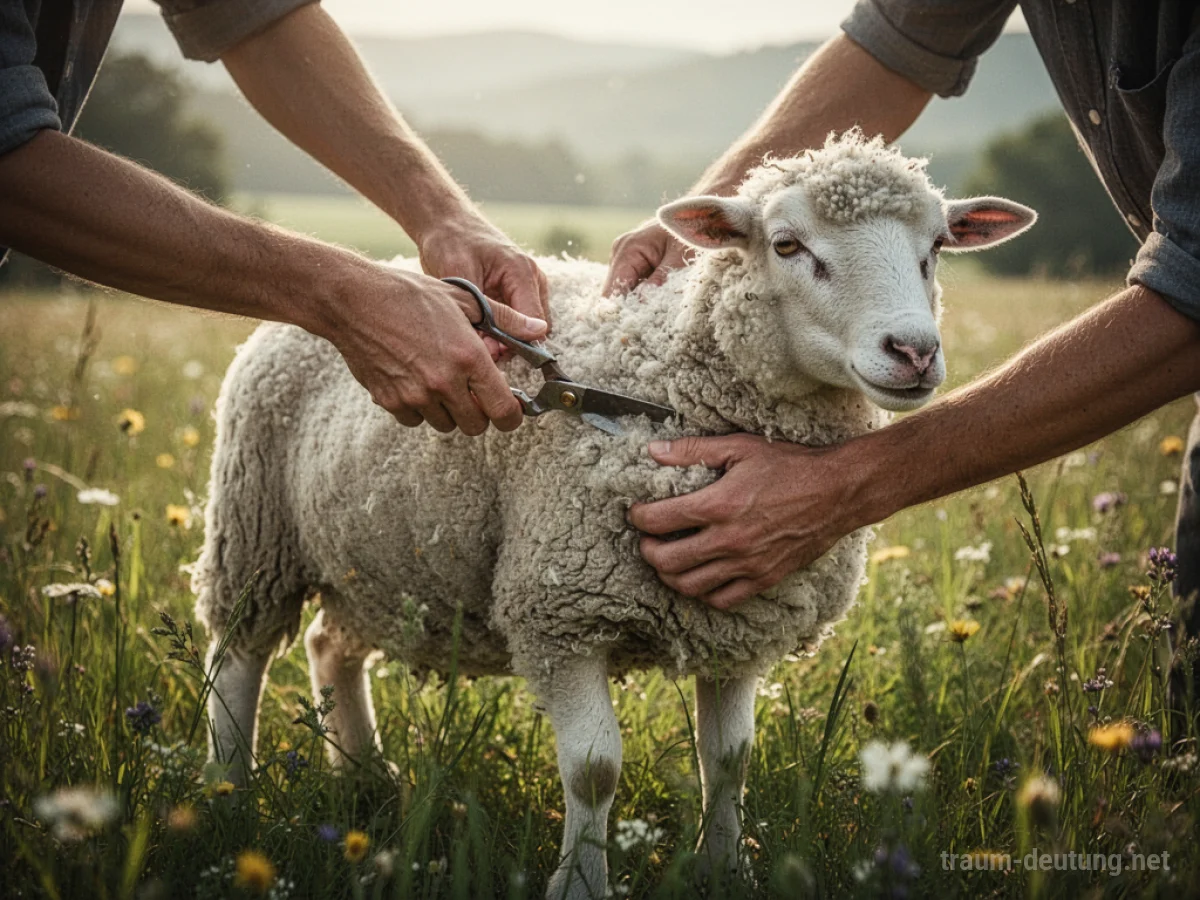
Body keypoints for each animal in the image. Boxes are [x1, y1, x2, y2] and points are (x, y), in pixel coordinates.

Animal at [192, 132, 1035, 898]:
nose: (914, 352)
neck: (670, 381)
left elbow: (730, 758)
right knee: (238, 658)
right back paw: (230, 794)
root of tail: (372, 270)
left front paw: (725, 870)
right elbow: (595, 770)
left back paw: (367, 774)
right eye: (788, 245)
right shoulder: (561, 610)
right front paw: (581, 883)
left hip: (375, 562)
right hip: (255, 530)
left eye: (936, 247)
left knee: (330, 646)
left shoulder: (737, 616)